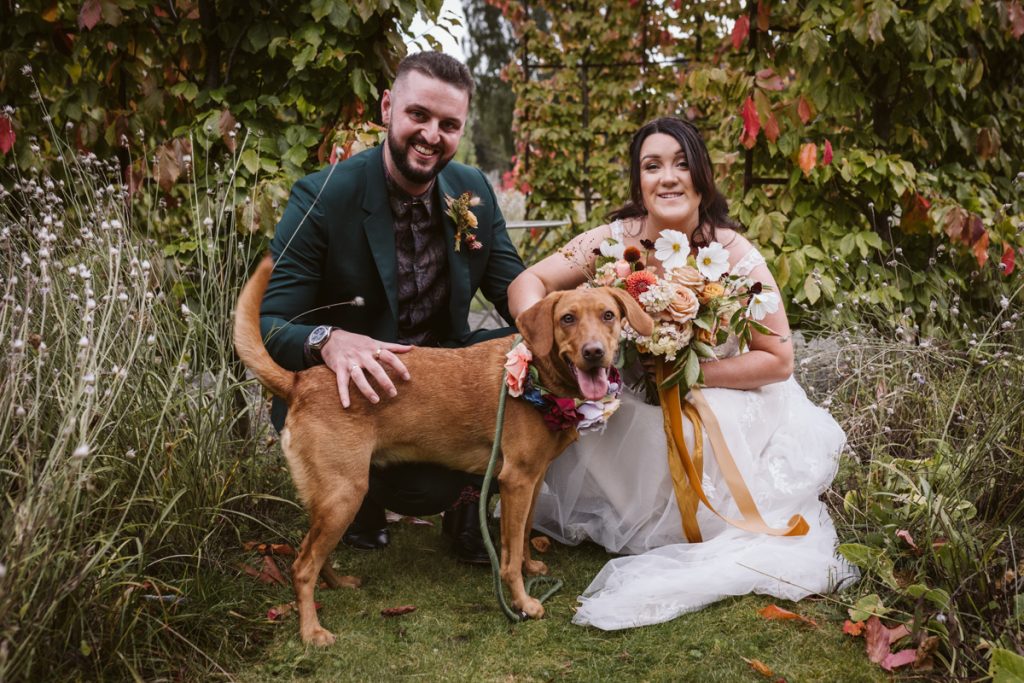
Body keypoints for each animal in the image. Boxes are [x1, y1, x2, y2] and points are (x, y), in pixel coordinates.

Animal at [232, 255, 651, 647]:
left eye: (608, 315)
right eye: (567, 319)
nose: (594, 352)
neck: (541, 378)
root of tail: (300, 380)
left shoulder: (534, 479)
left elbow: (523, 537)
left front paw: (531, 568)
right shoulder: (516, 480)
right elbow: (509, 557)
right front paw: (522, 603)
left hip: (333, 497)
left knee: (314, 553)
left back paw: (337, 582)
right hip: (344, 493)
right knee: (302, 567)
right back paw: (311, 631)